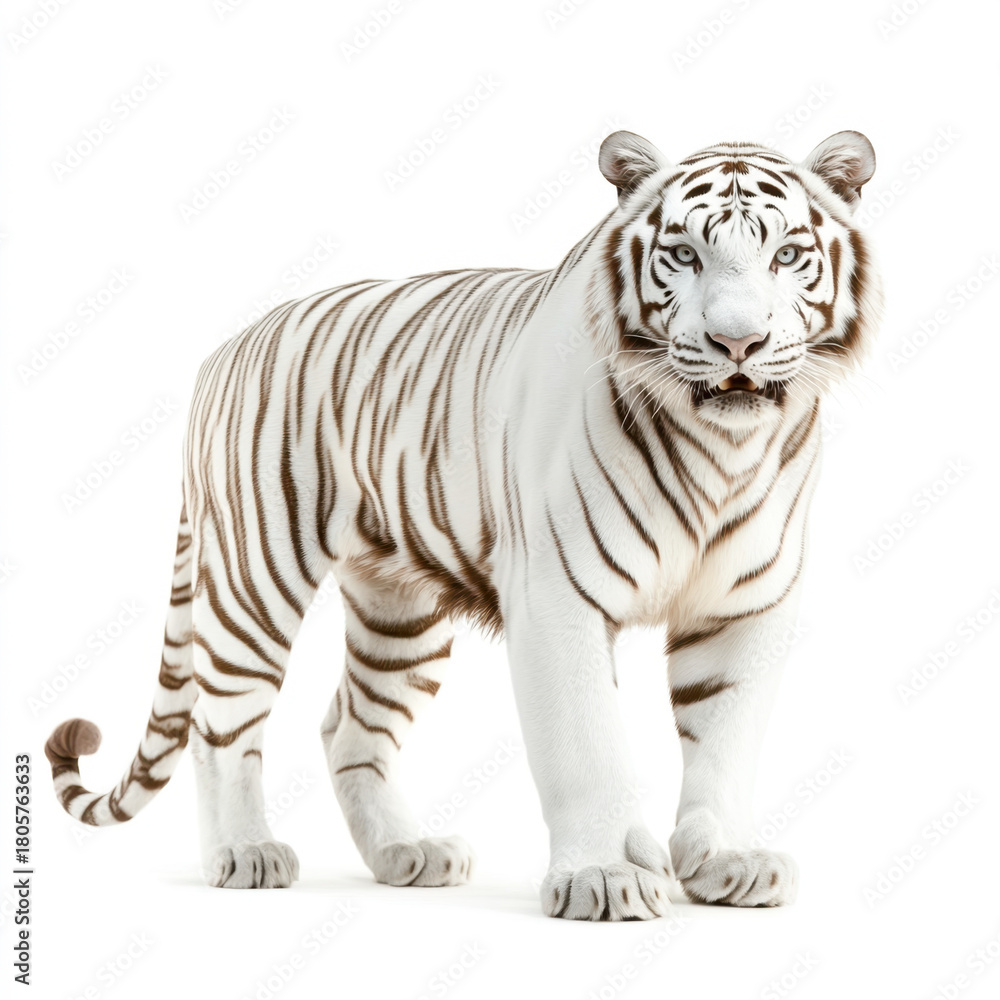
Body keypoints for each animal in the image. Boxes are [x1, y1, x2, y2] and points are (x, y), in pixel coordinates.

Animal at [45, 128, 881, 921]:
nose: (737, 343)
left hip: (400, 613)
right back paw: (245, 853)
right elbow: (587, 747)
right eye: (684, 253)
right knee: (221, 726)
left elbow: (725, 742)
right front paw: (603, 878)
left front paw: (727, 862)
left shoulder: (747, 607)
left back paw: (405, 853)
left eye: (787, 254)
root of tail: (223, 350)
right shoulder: (558, 598)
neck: (722, 450)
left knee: (347, 726)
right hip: (257, 576)